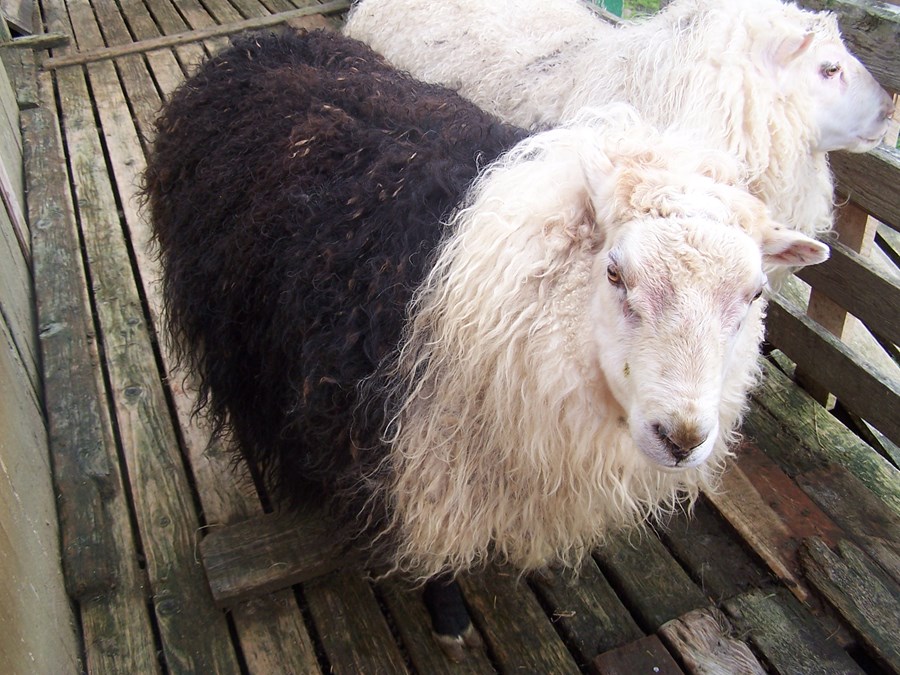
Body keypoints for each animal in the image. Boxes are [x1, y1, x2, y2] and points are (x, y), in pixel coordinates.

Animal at [143, 29, 829, 657]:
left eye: (755, 294)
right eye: (615, 273)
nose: (681, 438)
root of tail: (258, 42)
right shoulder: (425, 460)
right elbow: (439, 552)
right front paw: (449, 617)